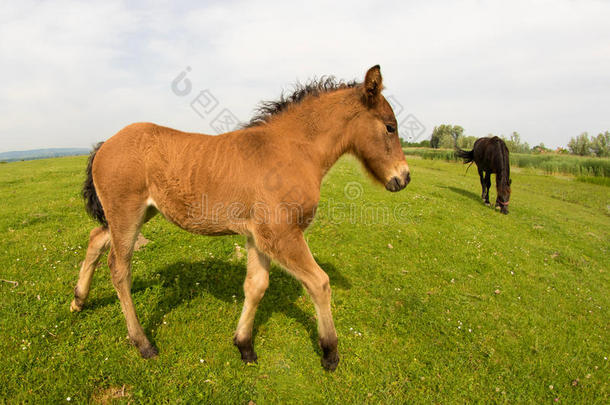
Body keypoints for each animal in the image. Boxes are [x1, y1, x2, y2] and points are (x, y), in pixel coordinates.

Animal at [72, 64, 414, 370]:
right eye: (390, 126)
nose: (404, 177)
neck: (291, 150)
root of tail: (105, 144)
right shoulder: (281, 235)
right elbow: (319, 283)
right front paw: (330, 352)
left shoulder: (256, 237)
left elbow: (256, 286)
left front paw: (244, 345)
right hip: (126, 214)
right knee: (119, 269)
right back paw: (143, 343)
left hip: (139, 213)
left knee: (96, 238)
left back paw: (78, 300)